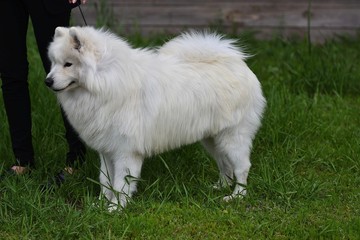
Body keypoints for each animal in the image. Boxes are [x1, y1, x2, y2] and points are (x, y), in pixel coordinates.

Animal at [45, 25, 264, 211]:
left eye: (68, 64)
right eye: (53, 63)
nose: (48, 81)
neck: (105, 82)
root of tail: (237, 63)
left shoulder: (126, 152)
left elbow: (120, 184)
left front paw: (115, 208)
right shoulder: (107, 150)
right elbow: (105, 181)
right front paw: (100, 204)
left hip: (232, 137)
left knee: (242, 167)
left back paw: (236, 196)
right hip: (212, 138)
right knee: (224, 164)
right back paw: (220, 186)